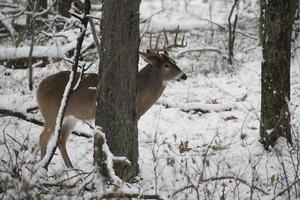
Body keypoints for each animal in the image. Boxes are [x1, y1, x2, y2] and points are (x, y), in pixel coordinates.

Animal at [37, 27, 188, 168]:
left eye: (174, 61)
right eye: (166, 65)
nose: (184, 75)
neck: (140, 91)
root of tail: (39, 87)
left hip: (71, 117)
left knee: (61, 140)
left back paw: (71, 168)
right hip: (50, 112)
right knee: (43, 137)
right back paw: (43, 166)